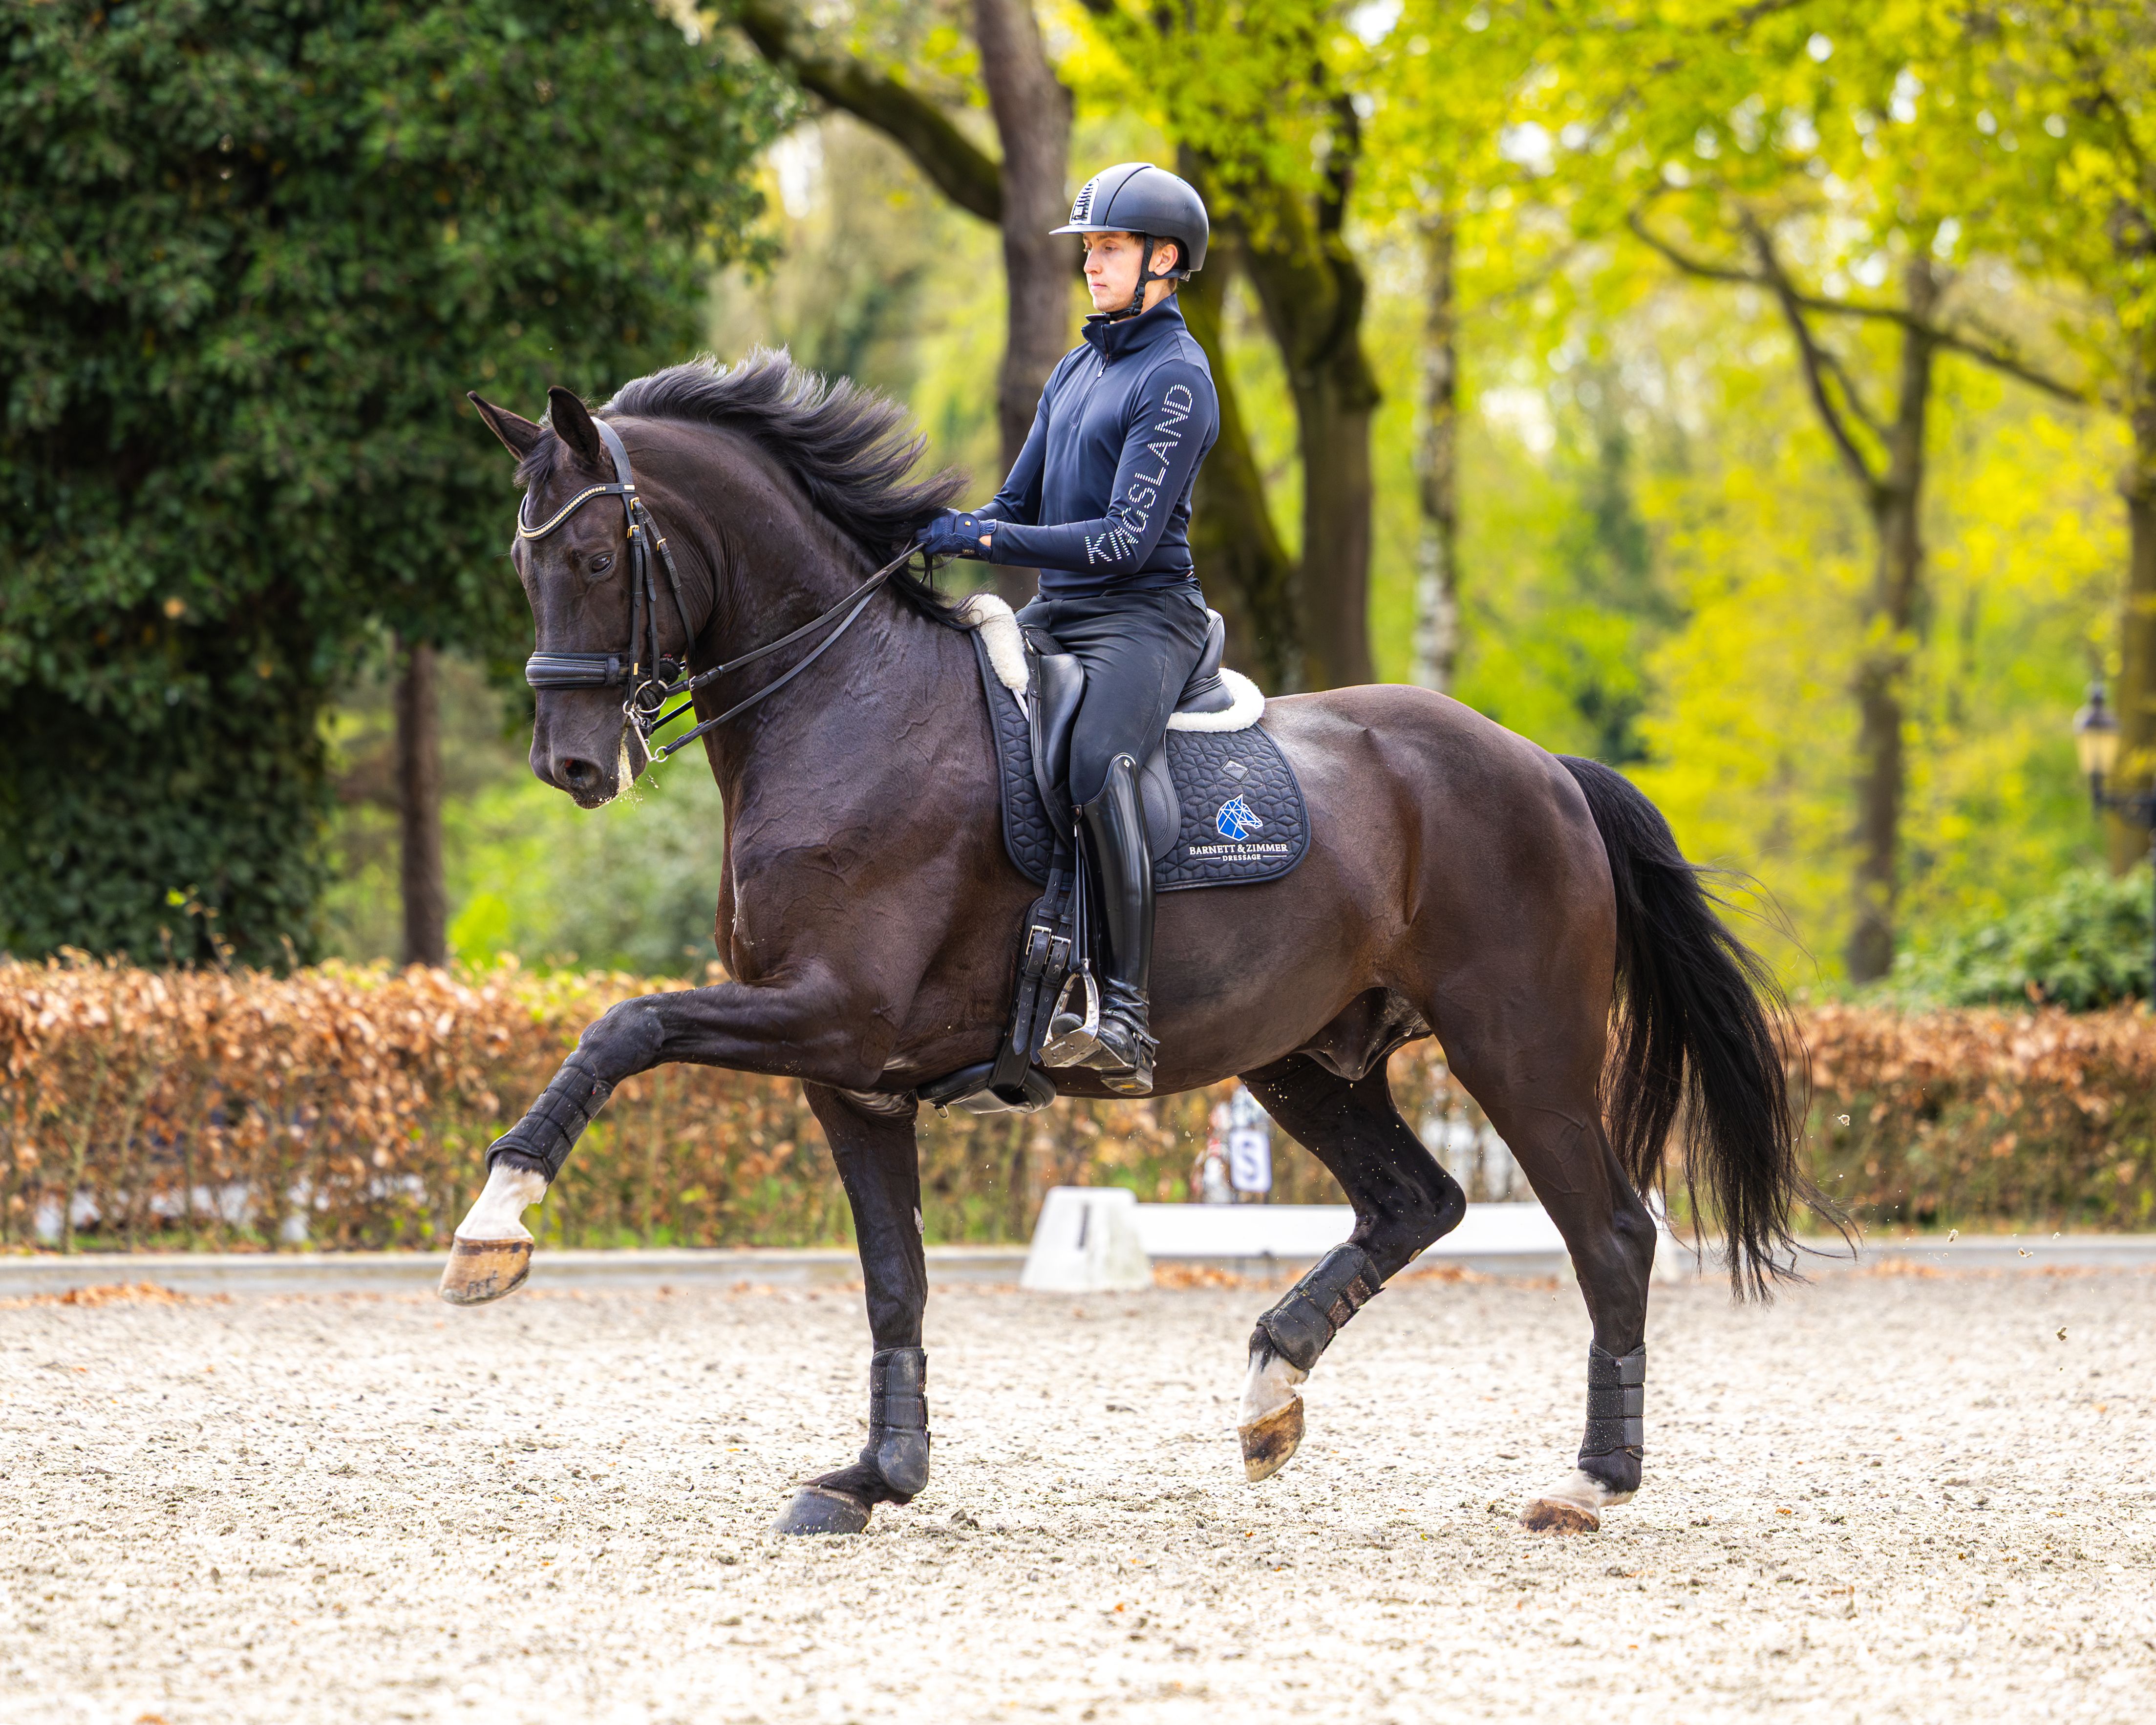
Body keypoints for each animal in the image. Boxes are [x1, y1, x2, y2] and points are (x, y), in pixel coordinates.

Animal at [447, 352, 1819, 1538]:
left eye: (591, 552)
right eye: (519, 563)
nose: (573, 766)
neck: (843, 707)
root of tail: (1544, 768)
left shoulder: (834, 1011)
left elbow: (626, 1024)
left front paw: (494, 1223)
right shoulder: (848, 1074)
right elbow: (894, 1277)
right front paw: (875, 1475)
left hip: (1517, 1046)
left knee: (1611, 1234)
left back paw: (1590, 1480)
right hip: (1308, 1058)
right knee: (1415, 1200)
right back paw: (1271, 1392)